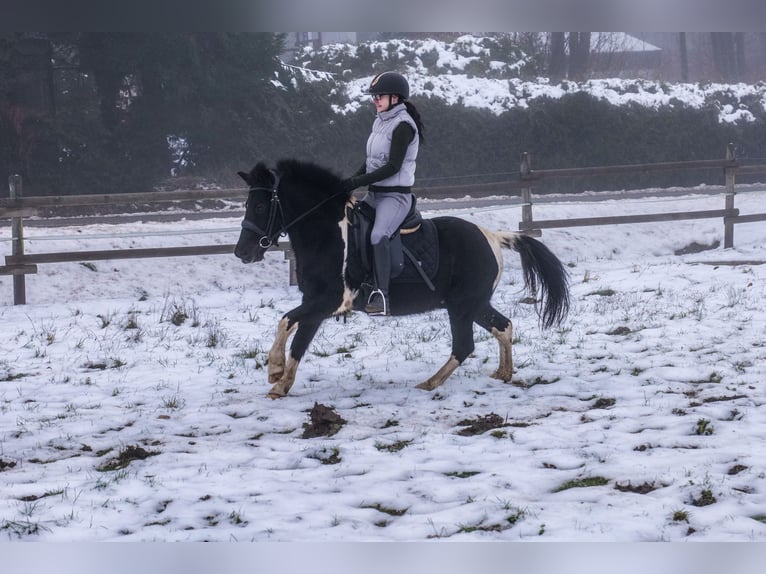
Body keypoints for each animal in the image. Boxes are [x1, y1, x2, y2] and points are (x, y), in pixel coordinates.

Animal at [234, 159, 568, 400]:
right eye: (248, 205)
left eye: (261, 206)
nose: (242, 252)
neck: (327, 234)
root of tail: (493, 237)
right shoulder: (315, 304)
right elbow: (298, 341)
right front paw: (281, 384)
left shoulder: (328, 301)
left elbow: (285, 321)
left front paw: (274, 370)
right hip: (473, 304)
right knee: (503, 326)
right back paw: (503, 374)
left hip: (462, 307)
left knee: (464, 345)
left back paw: (430, 383)